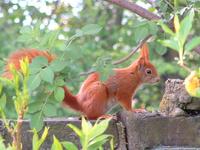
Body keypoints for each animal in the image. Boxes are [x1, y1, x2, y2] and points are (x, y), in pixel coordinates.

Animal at [1, 43, 159, 119]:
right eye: (149, 71)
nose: (158, 79)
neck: (133, 76)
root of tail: (80, 103)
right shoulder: (125, 90)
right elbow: (127, 104)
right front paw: (136, 110)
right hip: (98, 91)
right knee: (90, 116)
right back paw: (103, 116)